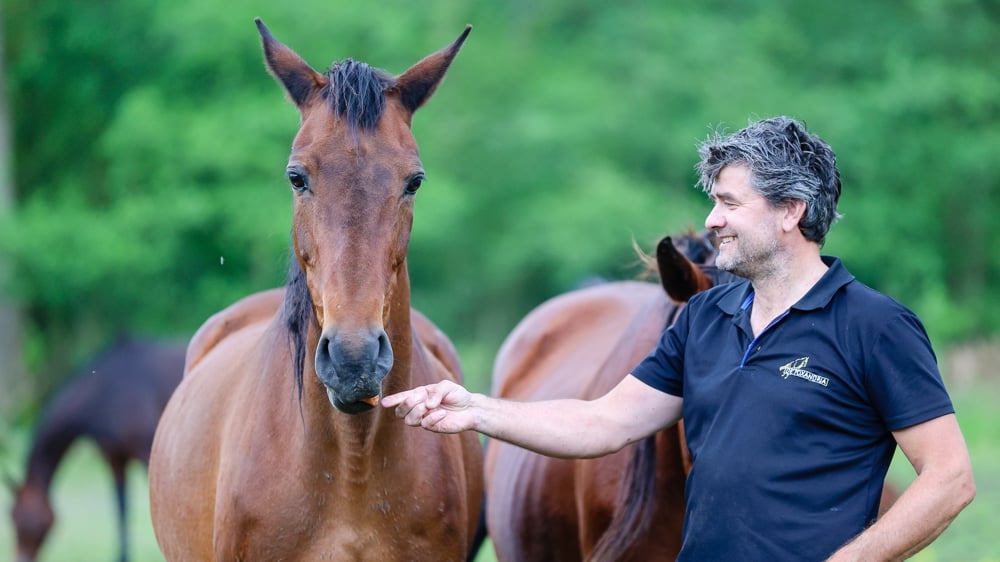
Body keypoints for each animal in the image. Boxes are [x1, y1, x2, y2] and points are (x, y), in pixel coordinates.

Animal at [7, 334, 186, 560]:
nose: (21, 557)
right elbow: (121, 509)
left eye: (19, 518)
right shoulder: (113, 456)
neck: (104, 392)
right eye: (10, 516)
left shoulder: (147, 452)